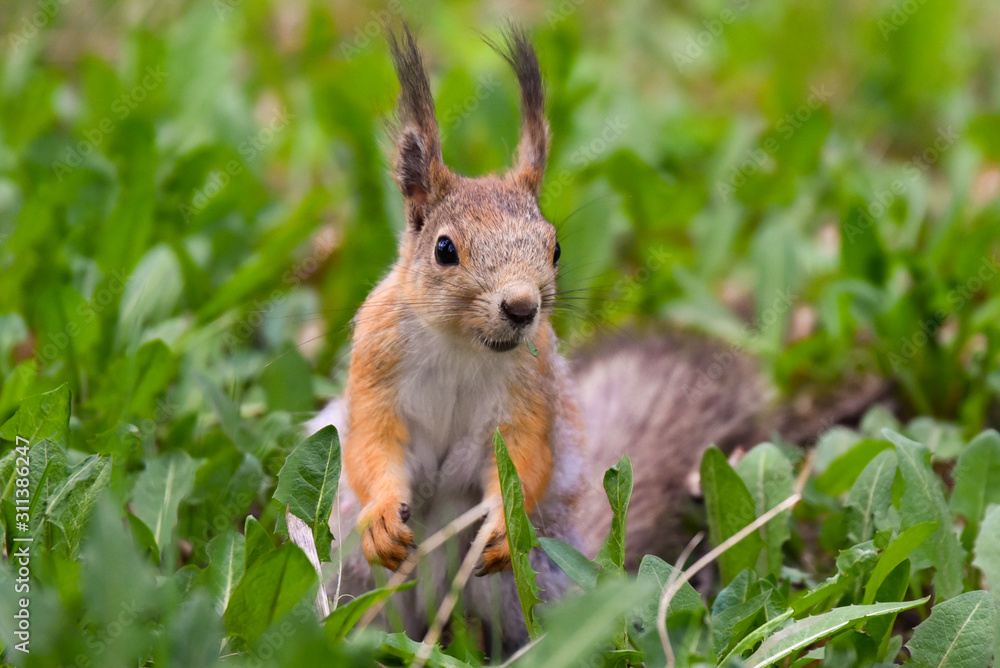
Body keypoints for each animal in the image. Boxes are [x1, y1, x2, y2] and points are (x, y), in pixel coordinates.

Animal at [305, 24, 890, 653]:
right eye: (444, 249)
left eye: (555, 247)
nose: (521, 308)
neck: (462, 345)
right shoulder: (376, 364)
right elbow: (371, 445)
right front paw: (382, 518)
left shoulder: (530, 389)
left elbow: (525, 457)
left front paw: (502, 525)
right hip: (354, 581)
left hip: (532, 581)